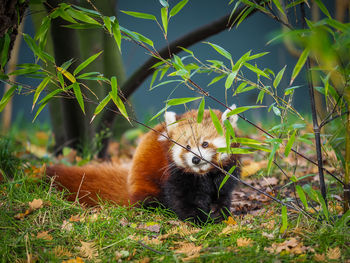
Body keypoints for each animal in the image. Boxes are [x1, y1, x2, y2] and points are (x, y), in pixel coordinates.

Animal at [46, 104, 239, 224]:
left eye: (205, 144)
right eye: (187, 147)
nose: (195, 159)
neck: (203, 174)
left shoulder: (226, 174)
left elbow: (223, 194)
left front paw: (220, 212)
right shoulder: (175, 175)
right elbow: (182, 199)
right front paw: (198, 219)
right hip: (144, 181)